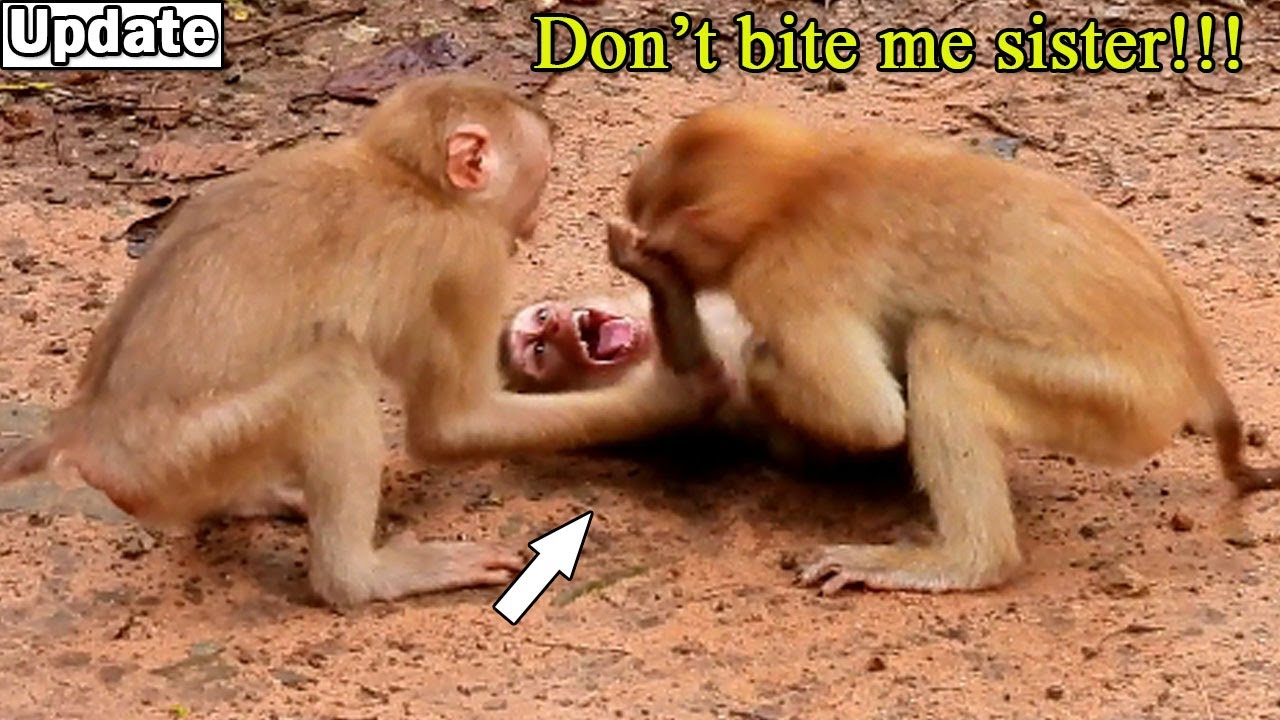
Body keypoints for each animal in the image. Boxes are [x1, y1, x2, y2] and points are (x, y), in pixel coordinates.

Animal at [0, 76, 725, 608]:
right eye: (539, 181)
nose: (536, 223)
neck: (404, 175)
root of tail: (83, 433)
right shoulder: (467, 254)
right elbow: (450, 427)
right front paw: (677, 395)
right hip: (183, 450)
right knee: (329, 379)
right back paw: (360, 579)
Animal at [619, 104, 1280, 595]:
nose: (663, 253)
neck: (799, 183)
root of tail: (1194, 361)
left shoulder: (780, 277)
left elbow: (870, 416)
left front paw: (743, 352)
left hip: (1114, 403)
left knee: (943, 353)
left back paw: (970, 563)